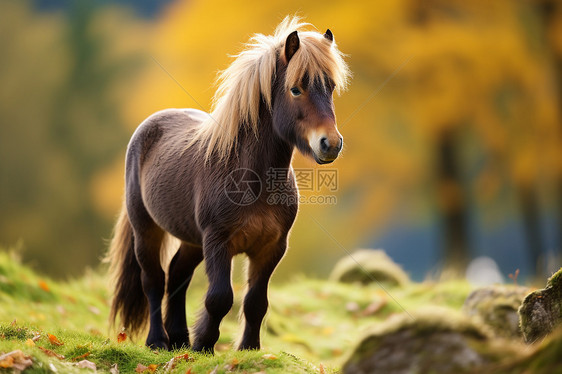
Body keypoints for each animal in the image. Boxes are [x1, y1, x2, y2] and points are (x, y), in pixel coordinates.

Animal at [106, 15, 346, 354]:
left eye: (331, 87)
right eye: (295, 89)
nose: (331, 144)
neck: (253, 180)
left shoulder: (270, 248)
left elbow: (256, 302)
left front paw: (247, 349)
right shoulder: (219, 243)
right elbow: (219, 298)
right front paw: (204, 345)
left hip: (192, 241)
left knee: (177, 276)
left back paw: (179, 337)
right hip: (147, 230)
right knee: (153, 281)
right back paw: (158, 341)